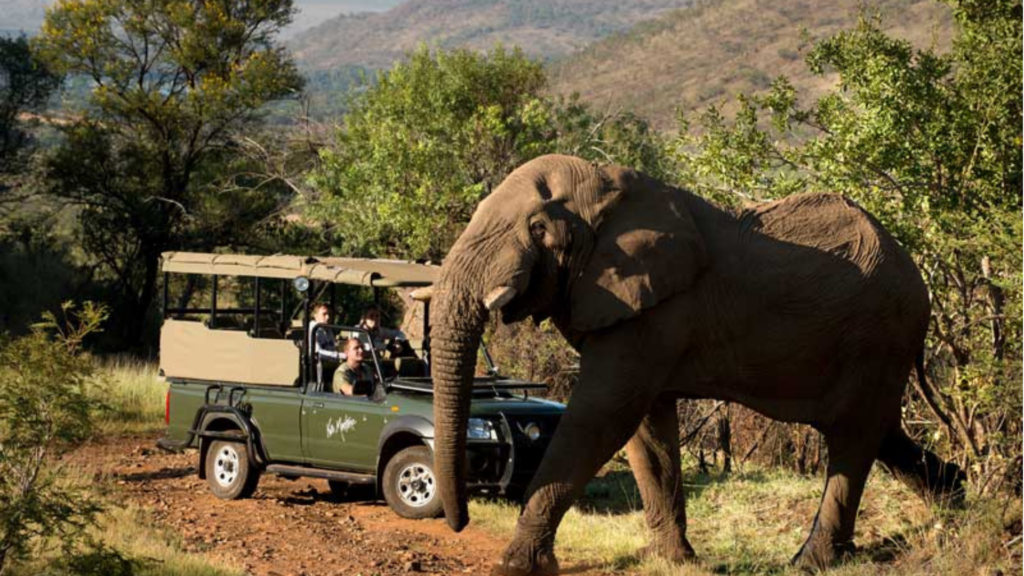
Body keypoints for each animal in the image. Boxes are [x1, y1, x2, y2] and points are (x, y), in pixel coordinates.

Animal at [425, 153, 966, 573]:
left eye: (538, 228)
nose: (458, 521)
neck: (606, 188)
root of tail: (919, 278)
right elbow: (646, 430)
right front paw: (673, 561)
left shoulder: (659, 308)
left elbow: (602, 415)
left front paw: (516, 565)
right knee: (880, 433)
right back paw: (958, 502)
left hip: (880, 335)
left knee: (853, 440)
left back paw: (809, 562)